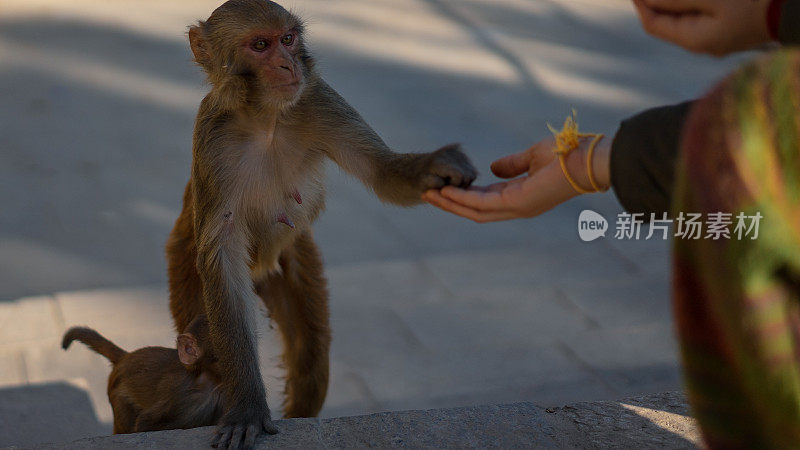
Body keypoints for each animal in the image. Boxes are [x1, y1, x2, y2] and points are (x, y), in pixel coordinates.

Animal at [164, 1, 476, 448]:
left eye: (288, 38)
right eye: (261, 46)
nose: (288, 63)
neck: (266, 118)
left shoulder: (319, 99)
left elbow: (382, 173)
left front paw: (438, 167)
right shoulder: (212, 134)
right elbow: (222, 256)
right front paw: (247, 405)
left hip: (294, 259)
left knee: (310, 358)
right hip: (184, 259)